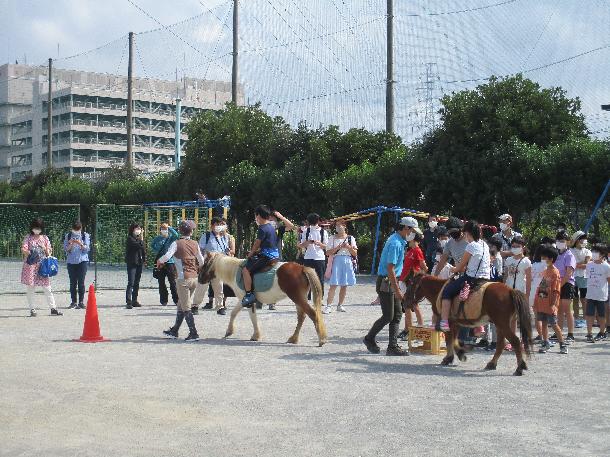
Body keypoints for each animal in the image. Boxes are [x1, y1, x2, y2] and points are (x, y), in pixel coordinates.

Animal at [197, 249, 326, 346]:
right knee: (301, 317)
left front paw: (255, 335)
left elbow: (251, 317)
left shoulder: (245, 299)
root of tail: (302, 268)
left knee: (312, 314)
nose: (199, 279)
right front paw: (230, 331)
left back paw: (321, 340)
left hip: (297, 297)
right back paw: (293, 338)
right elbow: (235, 313)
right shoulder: (244, 299)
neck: (235, 271)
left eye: (205, 263)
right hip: (298, 298)